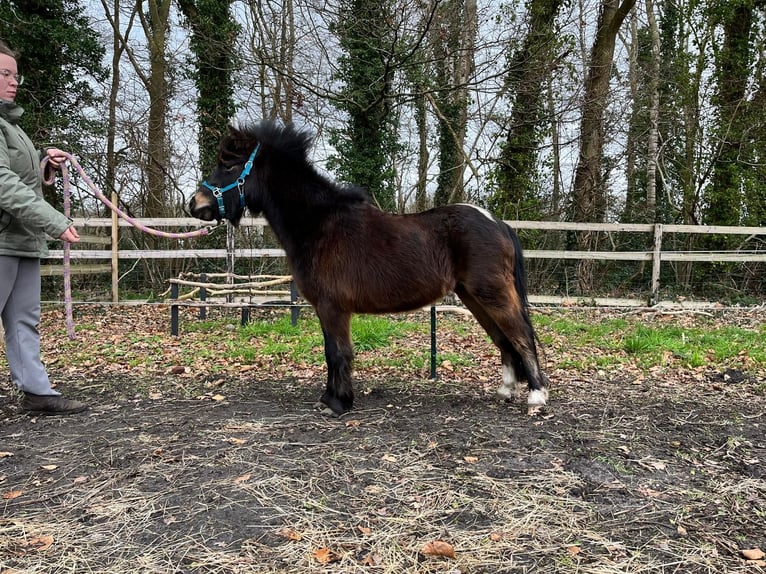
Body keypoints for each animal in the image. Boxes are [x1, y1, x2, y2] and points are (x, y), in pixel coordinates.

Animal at [189, 121, 549, 416]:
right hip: (474, 297)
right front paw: (329, 398)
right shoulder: (325, 308)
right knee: (503, 339)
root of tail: (496, 222)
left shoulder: (332, 307)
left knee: (520, 335)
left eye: (229, 164)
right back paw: (505, 391)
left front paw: (338, 403)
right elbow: (331, 352)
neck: (319, 225)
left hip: (491, 293)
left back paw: (537, 396)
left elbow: (337, 352)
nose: (195, 204)